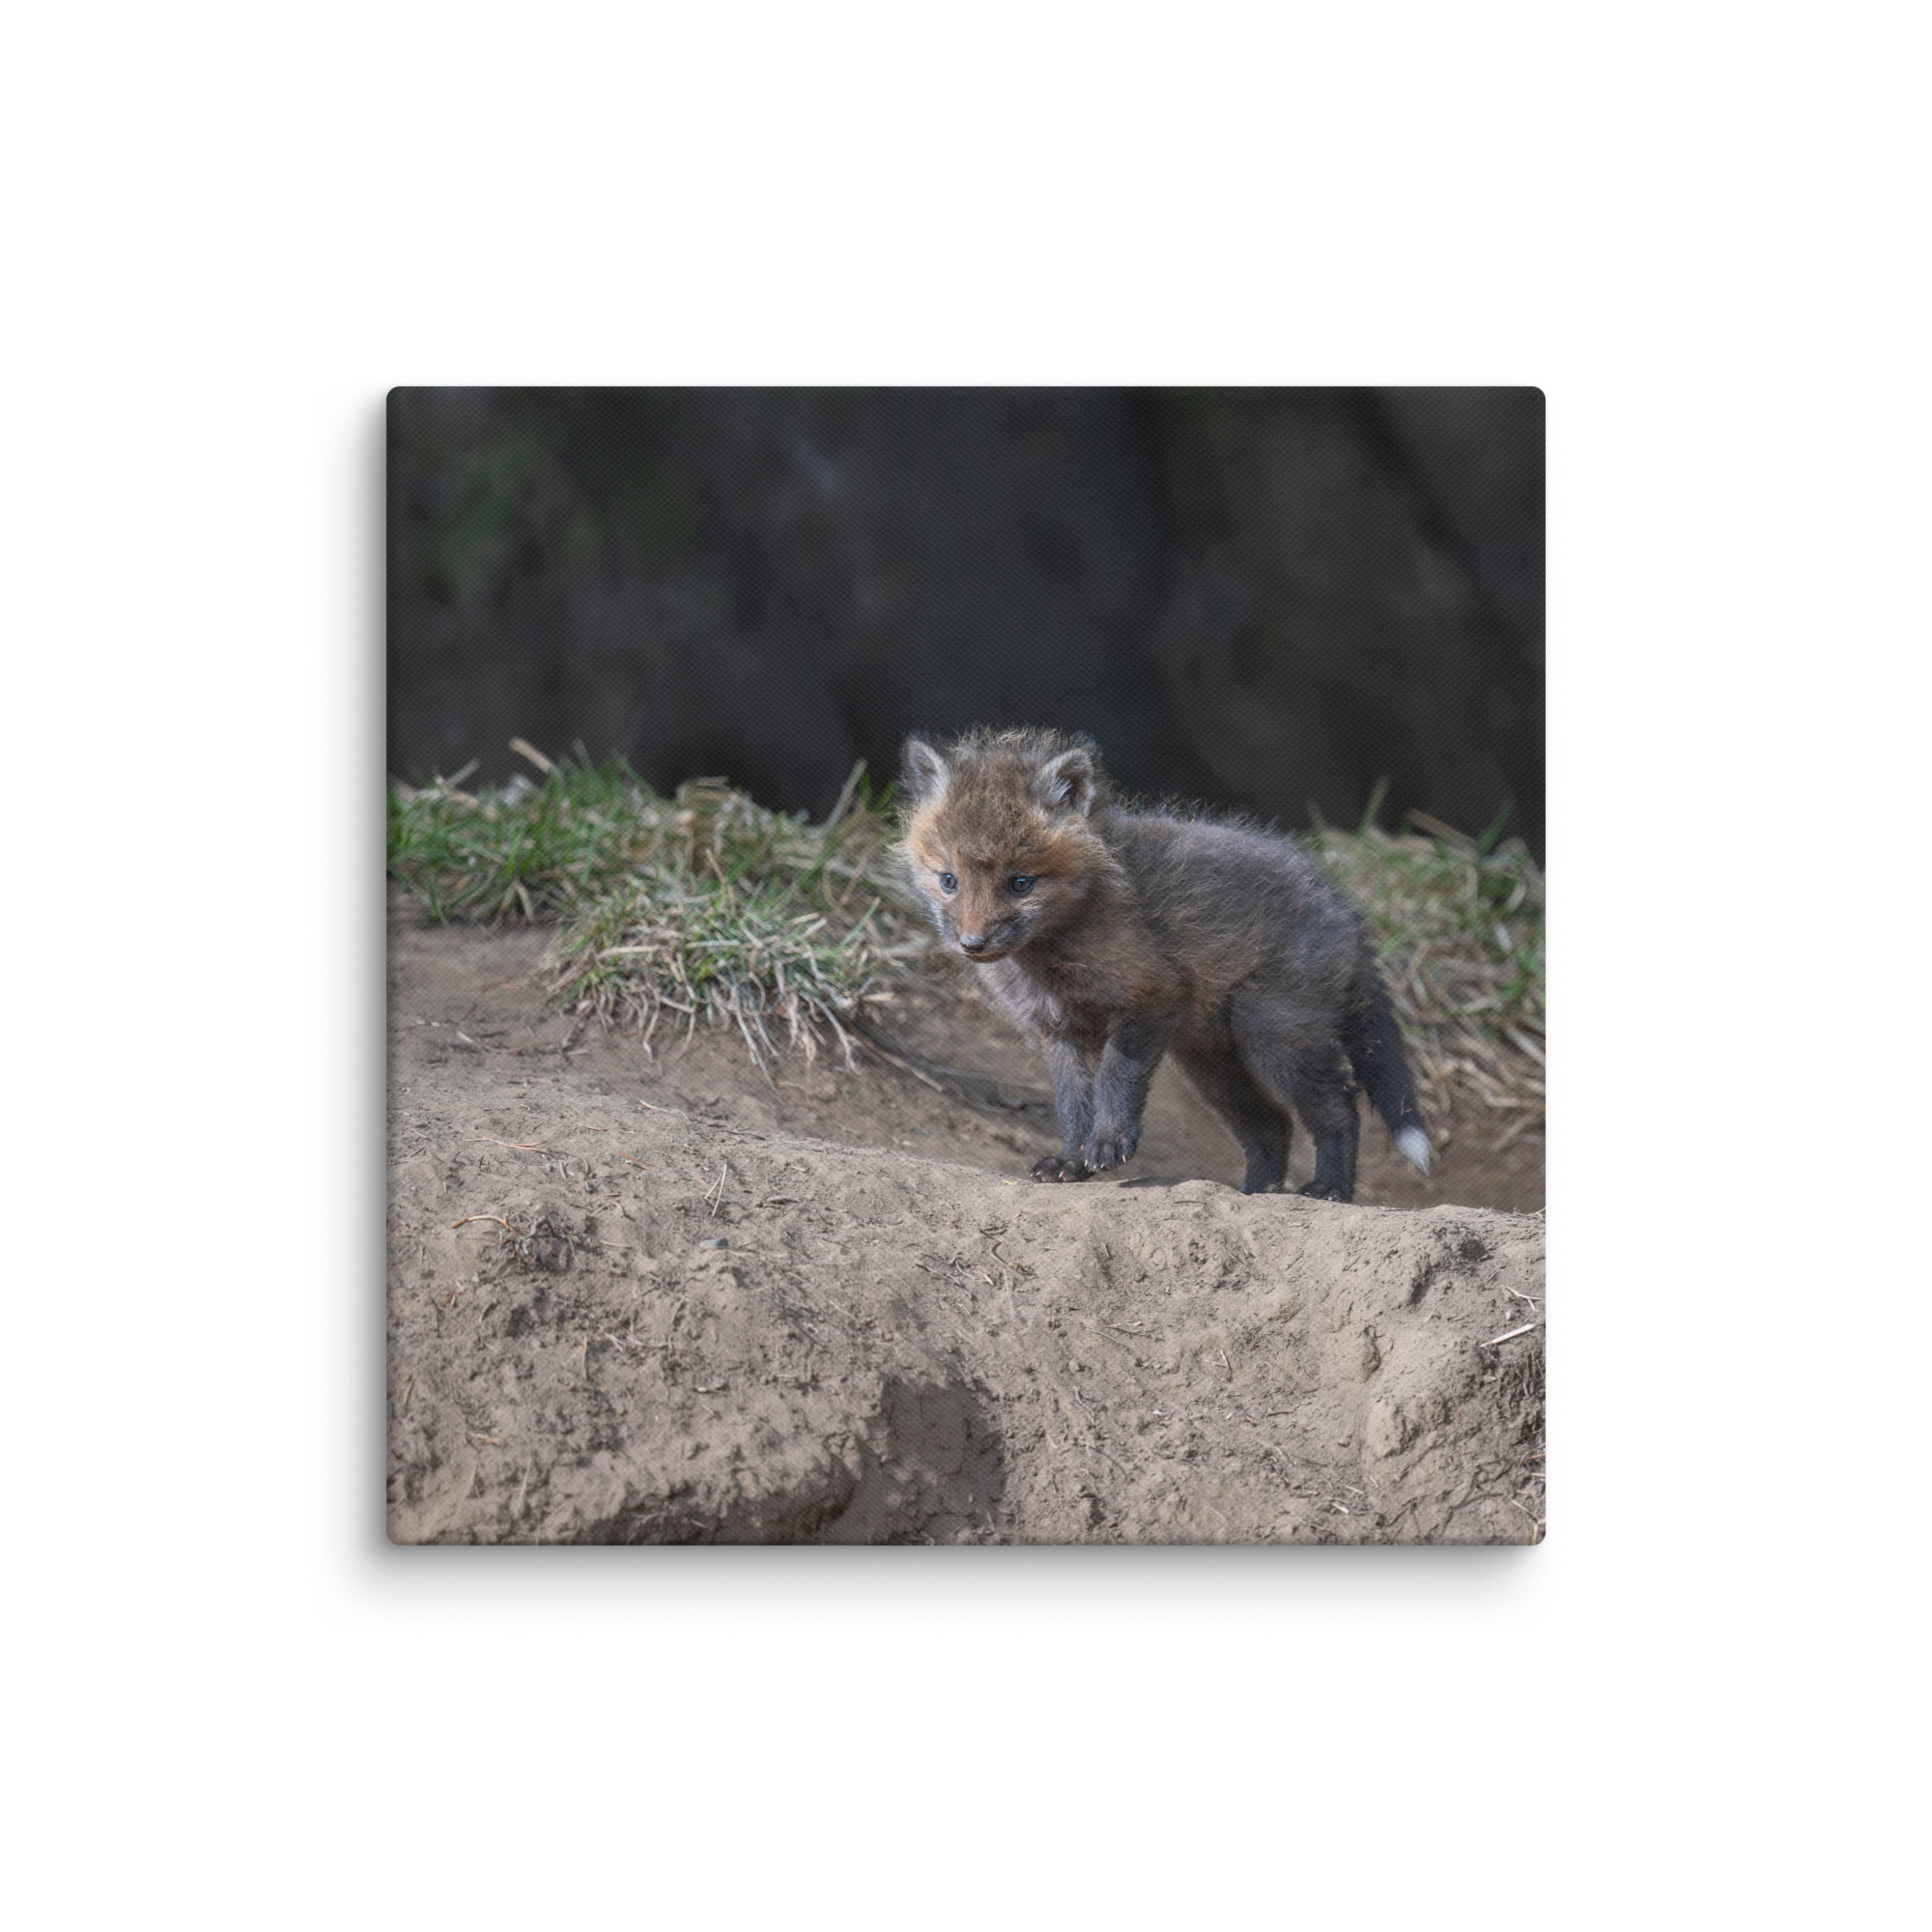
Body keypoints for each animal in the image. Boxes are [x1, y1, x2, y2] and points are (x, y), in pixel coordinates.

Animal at [897, 726, 1431, 1200]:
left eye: (1020, 883)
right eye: (948, 880)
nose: (972, 943)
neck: (1052, 959)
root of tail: (1343, 907)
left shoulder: (1150, 996)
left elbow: (1115, 1079)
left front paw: (1109, 1143)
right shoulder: (1059, 1030)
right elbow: (1073, 1104)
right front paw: (1071, 1160)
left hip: (1274, 1036)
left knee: (1339, 1107)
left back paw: (1329, 1188)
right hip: (1211, 1062)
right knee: (1272, 1124)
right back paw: (1256, 1192)